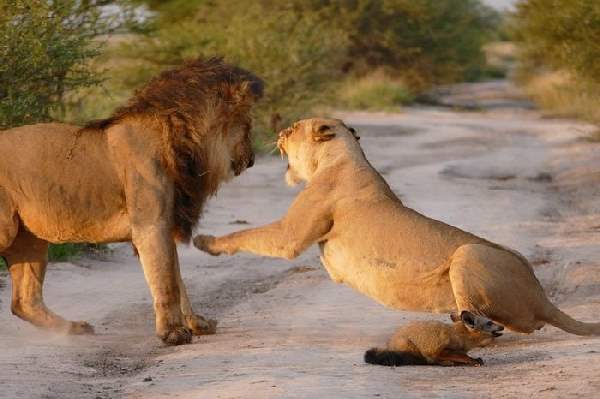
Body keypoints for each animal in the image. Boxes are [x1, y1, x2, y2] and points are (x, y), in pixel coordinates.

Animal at [0, 57, 262, 346]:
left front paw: (196, 323)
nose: (251, 159)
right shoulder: (151, 225)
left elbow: (176, 278)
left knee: (24, 301)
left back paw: (74, 328)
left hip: (28, 237)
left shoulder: (165, 223)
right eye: (247, 125)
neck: (181, 140)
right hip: (7, 230)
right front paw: (173, 333)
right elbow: (166, 281)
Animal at [195, 118, 600, 338]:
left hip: (470, 252)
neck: (341, 156)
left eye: (293, 129)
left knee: (504, 318)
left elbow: (247, 234)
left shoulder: (290, 234)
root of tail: (542, 296)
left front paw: (205, 241)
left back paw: (474, 322)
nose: (278, 131)